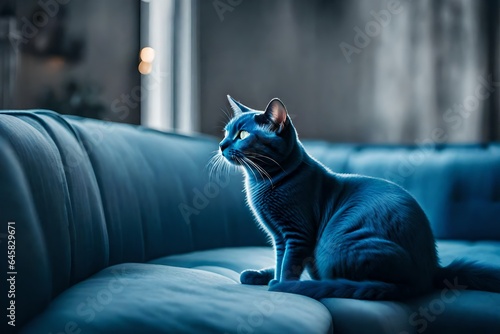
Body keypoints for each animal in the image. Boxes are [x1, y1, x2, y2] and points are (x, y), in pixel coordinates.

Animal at [218, 94, 500, 300]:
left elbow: (288, 264)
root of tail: (431, 270)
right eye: (225, 132)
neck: (261, 183)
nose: (221, 145)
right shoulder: (279, 237)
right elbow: (280, 260)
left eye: (242, 135)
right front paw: (273, 276)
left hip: (334, 246)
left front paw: (283, 285)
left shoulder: (296, 234)